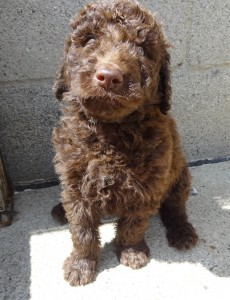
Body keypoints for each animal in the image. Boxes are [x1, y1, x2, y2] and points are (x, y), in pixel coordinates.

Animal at [51, 0, 198, 286]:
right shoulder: (74, 181)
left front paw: (131, 252)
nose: (109, 76)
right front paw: (81, 264)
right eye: (90, 39)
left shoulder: (148, 184)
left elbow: (134, 223)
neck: (111, 131)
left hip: (180, 176)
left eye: (142, 48)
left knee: (175, 206)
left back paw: (182, 232)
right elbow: (82, 228)